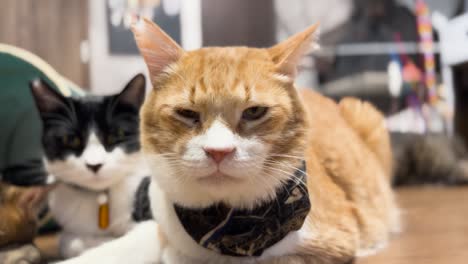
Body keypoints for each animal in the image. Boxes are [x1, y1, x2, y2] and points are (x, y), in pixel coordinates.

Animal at [61, 19, 398, 264]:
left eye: (254, 111)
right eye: (187, 113)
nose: (218, 152)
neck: (228, 226)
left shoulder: (332, 244)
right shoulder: (162, 228)